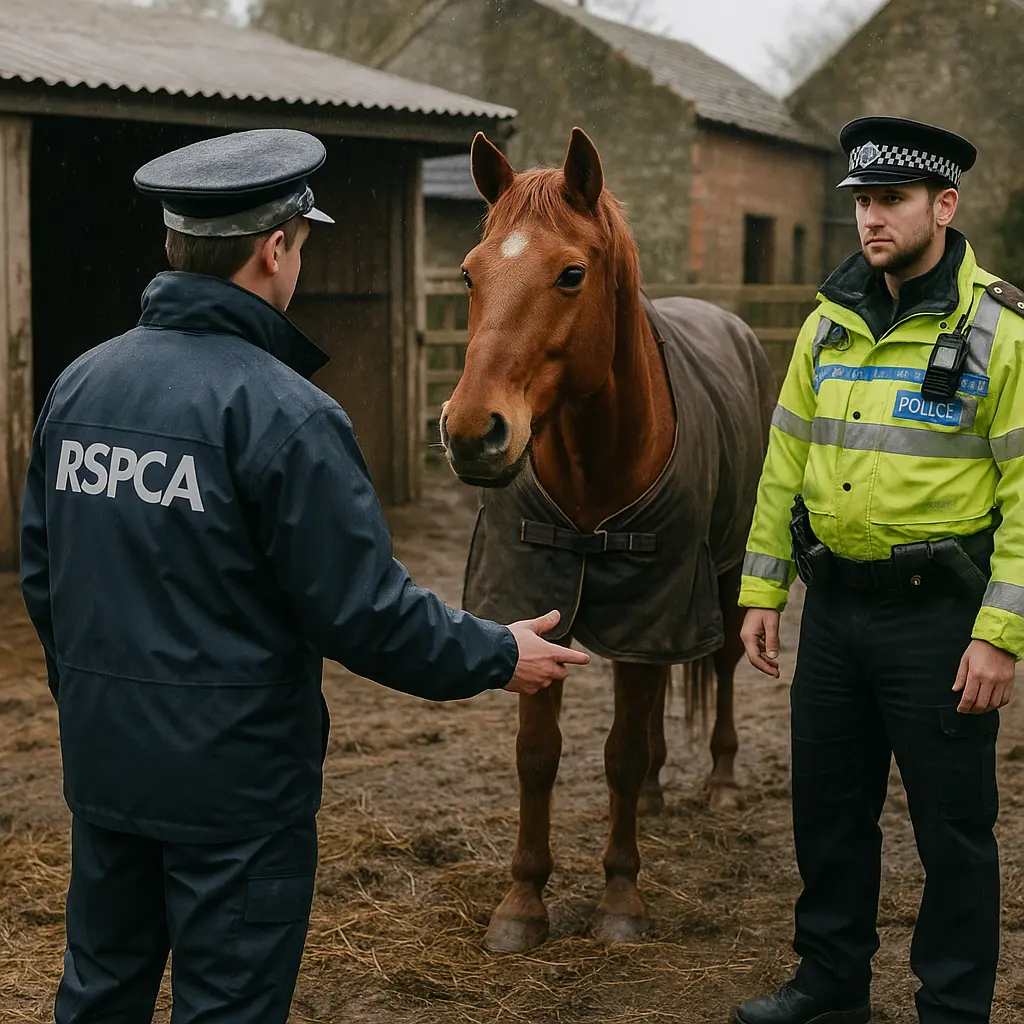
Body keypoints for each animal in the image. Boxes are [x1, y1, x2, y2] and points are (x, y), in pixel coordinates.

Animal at [439, 127, 776, 952]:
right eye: (468, 275)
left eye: (570, 274)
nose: (471, 433)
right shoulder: (539, 605)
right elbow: (538, 758)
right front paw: (522, 903)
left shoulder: (662, 598)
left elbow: (618, 754)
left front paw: (621, 898)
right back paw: (657, 792)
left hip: (724, 575)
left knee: (722, 667)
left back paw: (720, 781)